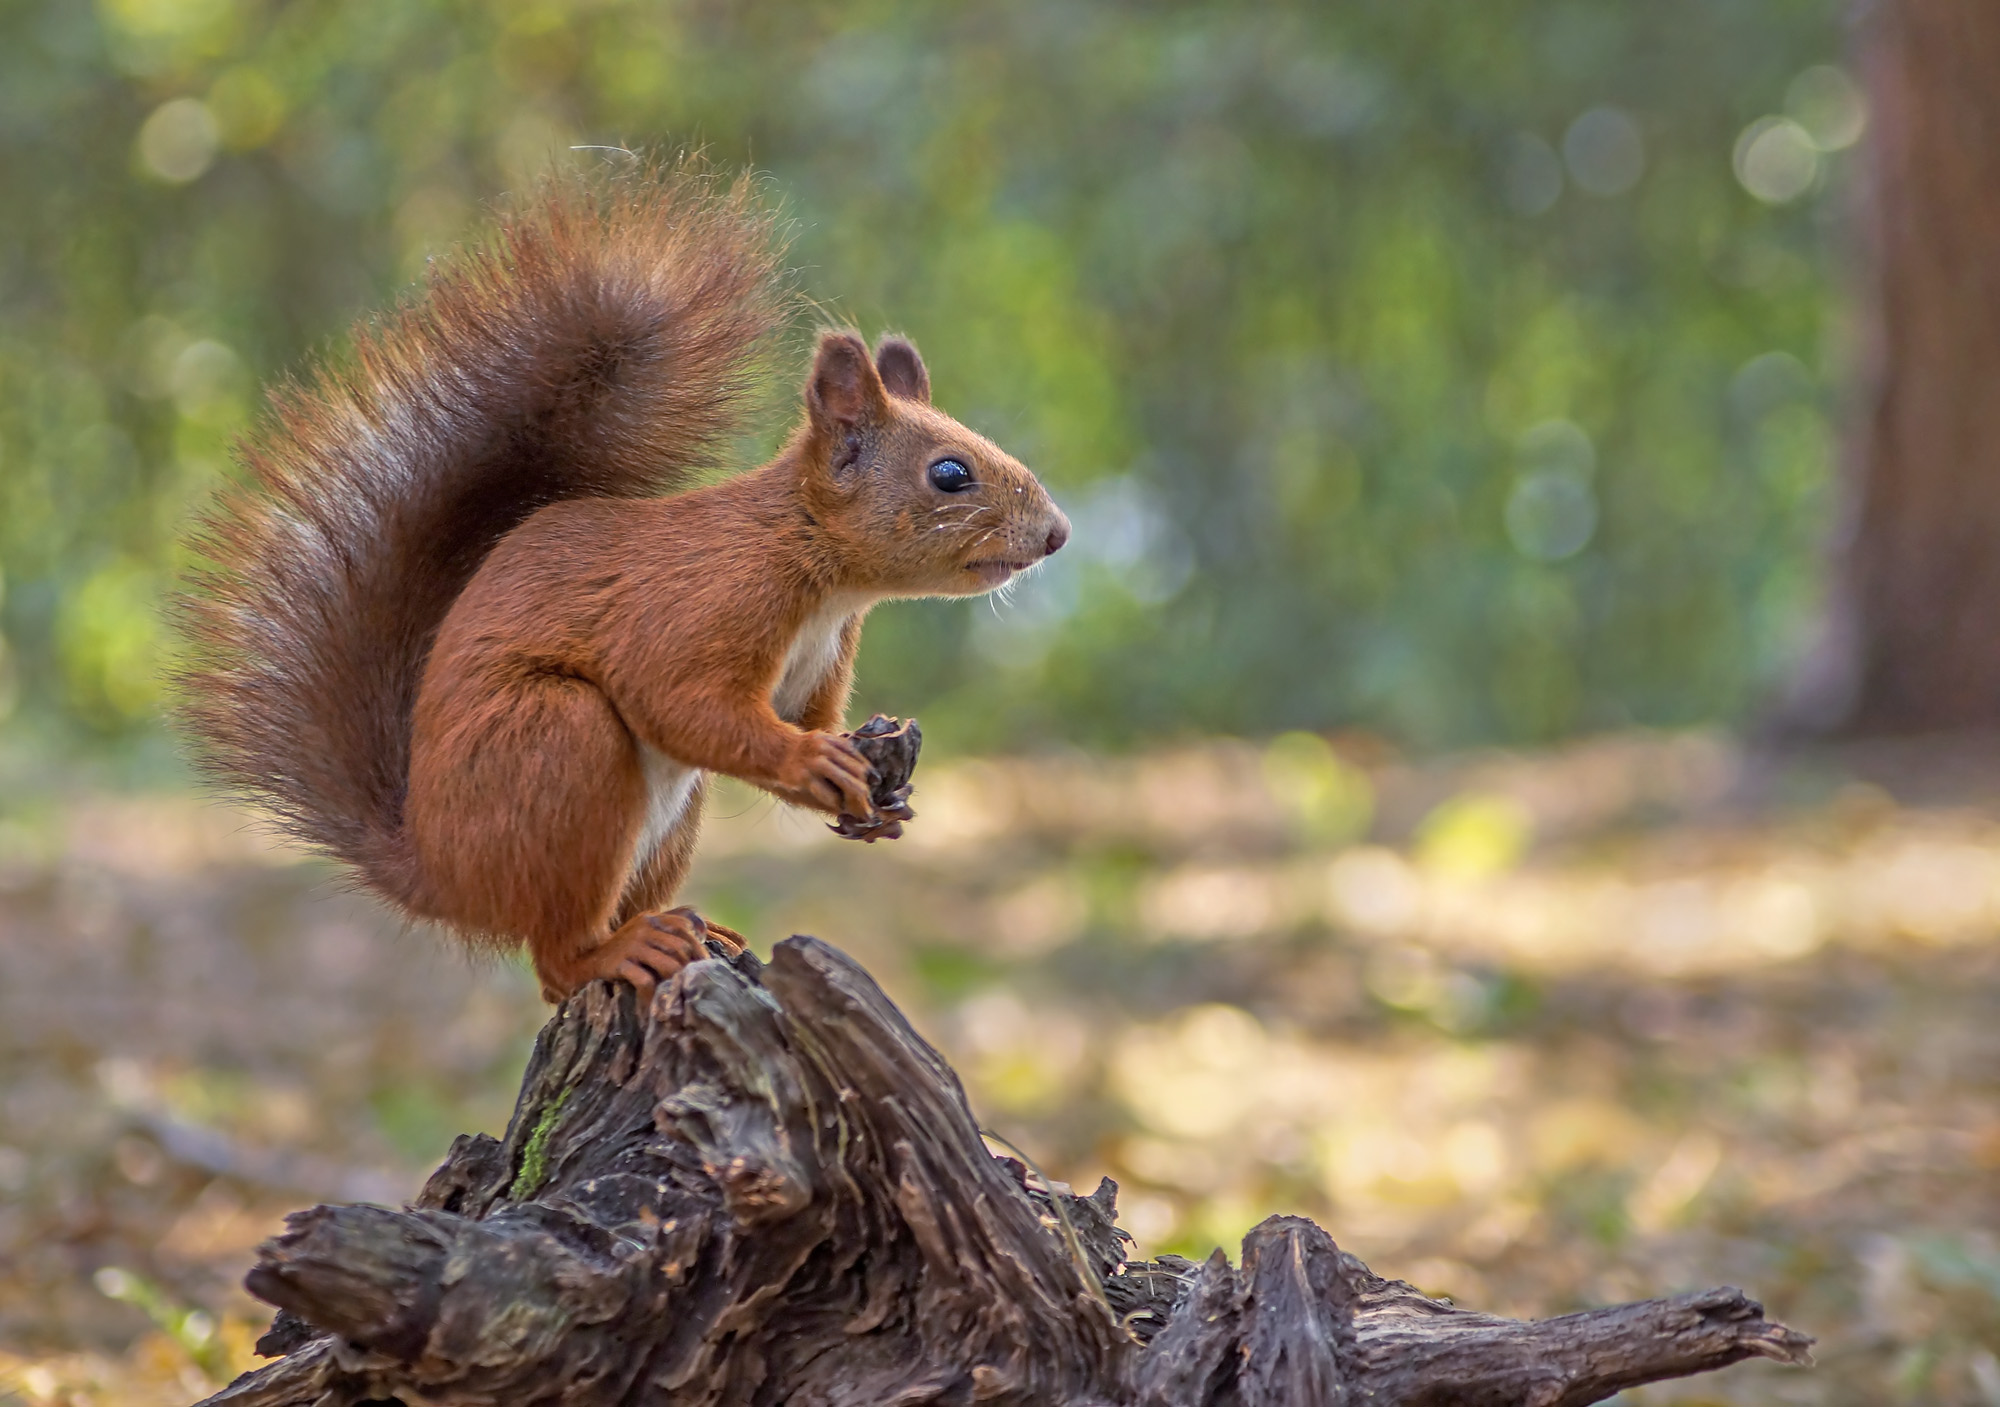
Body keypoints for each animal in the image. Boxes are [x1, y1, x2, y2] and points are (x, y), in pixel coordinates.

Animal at [180, 164, 1072, 999]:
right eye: (949, 473)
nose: (1058, 533)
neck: (814, 565)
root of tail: (435, 874)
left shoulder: (822, 651)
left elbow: (800, 715)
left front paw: (873, 795)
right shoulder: (707, 599)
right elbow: (679, 700)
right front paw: (811, 763)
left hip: (663, 822)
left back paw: (684, 929)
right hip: (556, 747)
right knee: (555, 958)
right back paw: (615, 950)